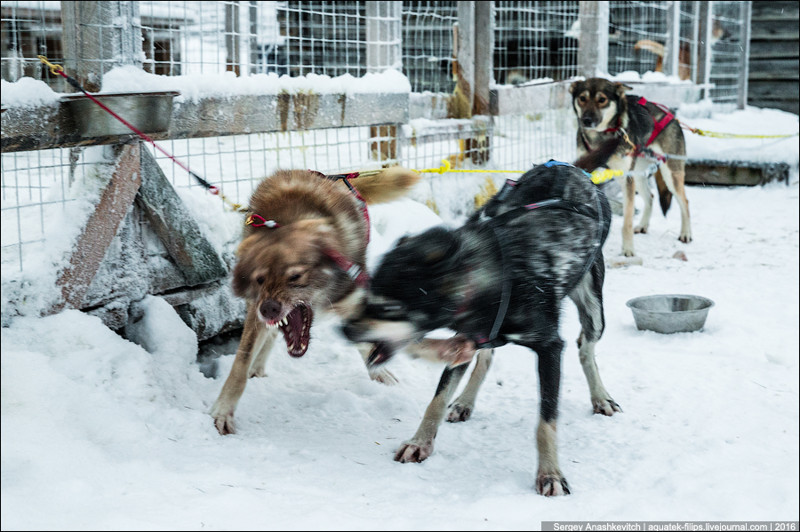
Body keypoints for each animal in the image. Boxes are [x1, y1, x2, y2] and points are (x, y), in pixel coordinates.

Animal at [209, 167, 422, 436]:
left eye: (295, 276)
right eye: (259, 279)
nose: (268, 309)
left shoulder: (351, 295)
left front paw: (379, 367)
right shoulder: (255, 312)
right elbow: (241, 362)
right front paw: (223, 409)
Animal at [340, 149, 620, 494]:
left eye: (390, 307)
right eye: (368, 296)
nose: (345, 329)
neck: (496, 275)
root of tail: (568, 166)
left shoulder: (550, 347)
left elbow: (546, 420)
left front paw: (550, 474)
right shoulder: (464, 338)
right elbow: (437, 399)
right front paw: (421, 442)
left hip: (594, 310)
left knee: (585, 346)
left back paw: (600, 397)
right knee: (486, 358)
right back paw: (464, 402)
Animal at [568, 77, 692, 258]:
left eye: (602, 99)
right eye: (582, 98)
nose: (587, 120)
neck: (601, 138)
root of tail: (671, 116)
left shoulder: (626, 178)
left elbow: (626, 221)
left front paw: (628, 249)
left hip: (670, 174)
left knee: (684, 201)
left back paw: (686, 234)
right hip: (639, 175)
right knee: (650, 197)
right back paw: (643, 226)